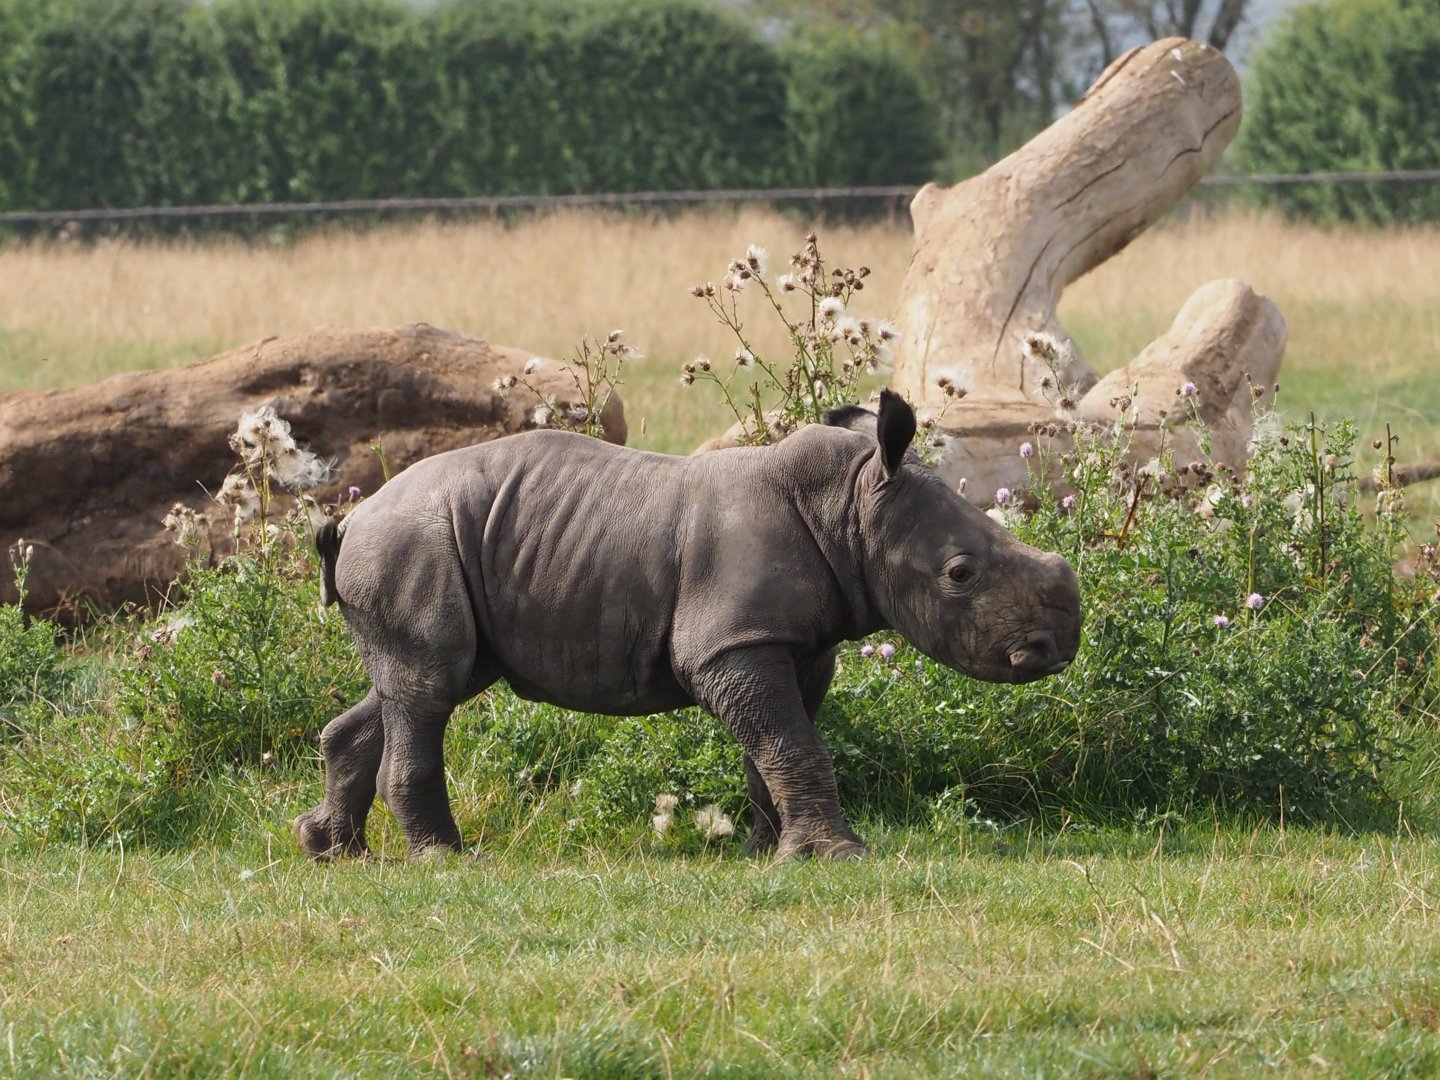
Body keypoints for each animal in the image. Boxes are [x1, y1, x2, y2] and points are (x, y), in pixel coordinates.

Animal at [294, 390, 1081, 861]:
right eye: (960, 574)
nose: (1056, 648)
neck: (848, 505)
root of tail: (351, 519)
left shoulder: (790, 642)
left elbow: (779, 742)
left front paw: (770, 851)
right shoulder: (732, 644)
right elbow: (793, 742)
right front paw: (837, 856)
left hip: (431, 549)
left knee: (412, 686)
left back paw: (332, 850)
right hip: (412, 544)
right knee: (430, 689)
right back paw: (447, 859)